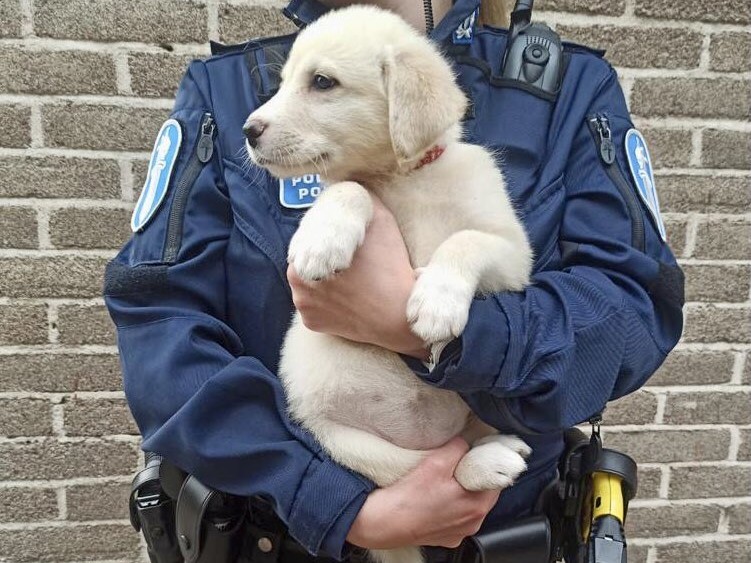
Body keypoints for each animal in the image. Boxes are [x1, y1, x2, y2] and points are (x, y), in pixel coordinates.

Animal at [244, 7, 534, 563]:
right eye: (283, 81)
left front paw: (437, 302)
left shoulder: (514, 254)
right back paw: (486, 464)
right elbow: (347, 189)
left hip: (473, 415)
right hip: (342, 443)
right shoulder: (351, 185)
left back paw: (491, 457)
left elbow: (465, 239)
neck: (402, 176)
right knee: (417, 475)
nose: (248, 130)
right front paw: (322, 239)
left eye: (321, 82)